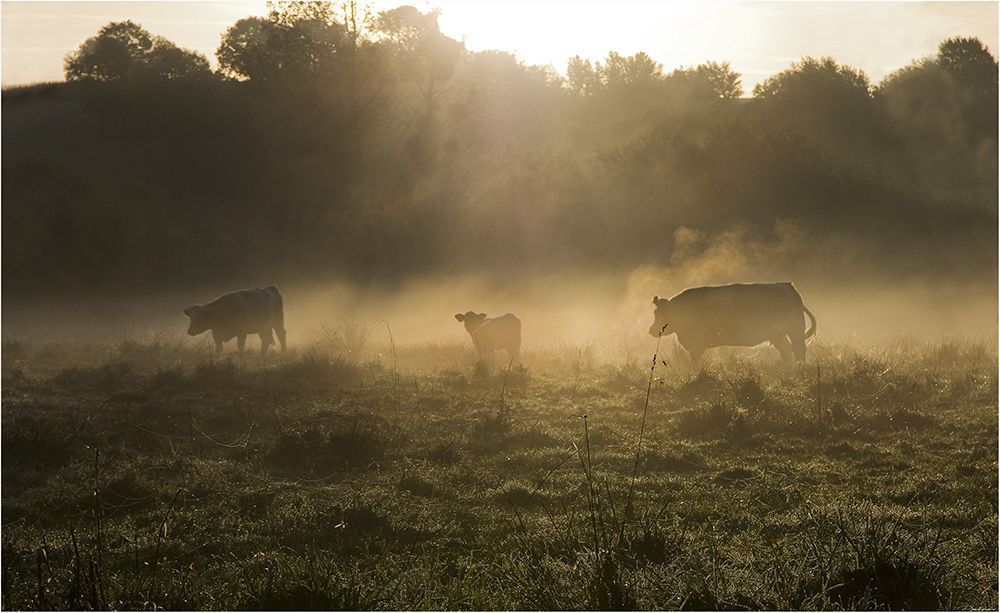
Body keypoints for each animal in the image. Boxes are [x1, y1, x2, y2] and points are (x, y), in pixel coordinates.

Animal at [648, 280, 820, 364]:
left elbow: (695, 361)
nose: (651, 330)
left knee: (798, 350)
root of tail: (788, 287)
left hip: (795, 331)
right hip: (777, 335)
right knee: (786, 351)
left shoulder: (699, 342)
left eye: (658, 314)